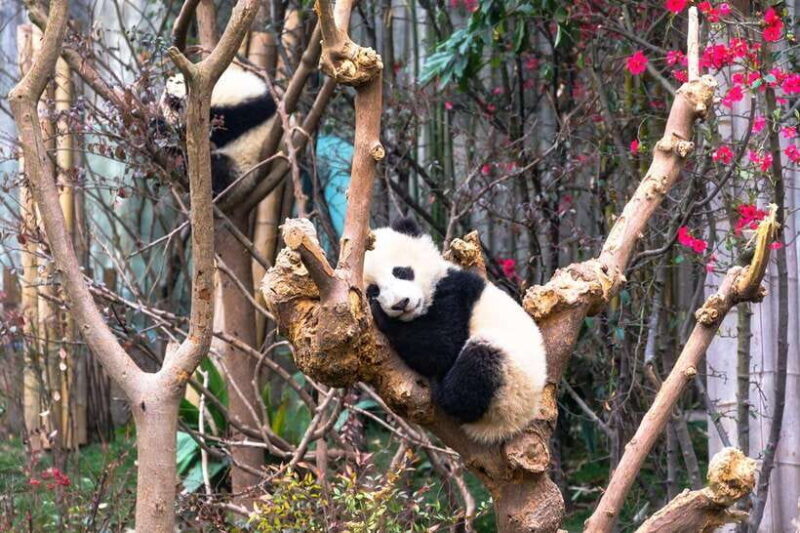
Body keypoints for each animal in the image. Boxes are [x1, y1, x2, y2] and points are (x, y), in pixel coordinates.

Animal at [363, 218, 548, 444]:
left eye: (401, 271)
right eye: (374, 290)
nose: (401, 303)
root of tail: (514, 424)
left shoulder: (454, 294)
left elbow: (442, 346)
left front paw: (380, 315)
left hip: (512, 382)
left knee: (479, 362)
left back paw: (440, 390)